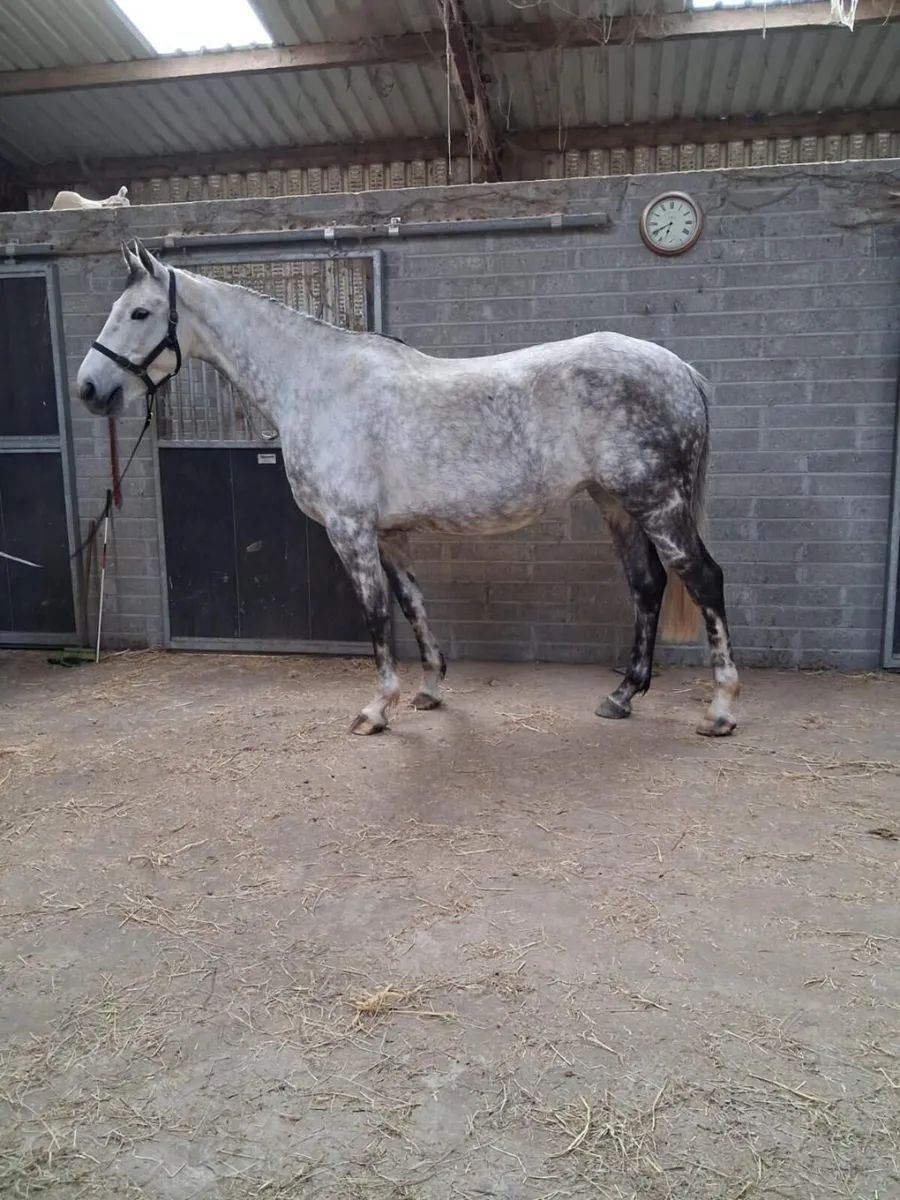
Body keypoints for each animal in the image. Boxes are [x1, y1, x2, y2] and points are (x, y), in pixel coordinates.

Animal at [76, 239, 739, 739]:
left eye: (139, 313)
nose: (89, 389)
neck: (316, 384)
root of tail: (680, 371)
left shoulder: (350, 529)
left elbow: (375, 614)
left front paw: (375, 710)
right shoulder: (390, 534)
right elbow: (413, 605)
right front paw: (430, 690)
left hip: (657, 503)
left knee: (704, 581)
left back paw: (720, 709)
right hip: (617, 504)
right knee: (647, 586)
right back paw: (623, 695)